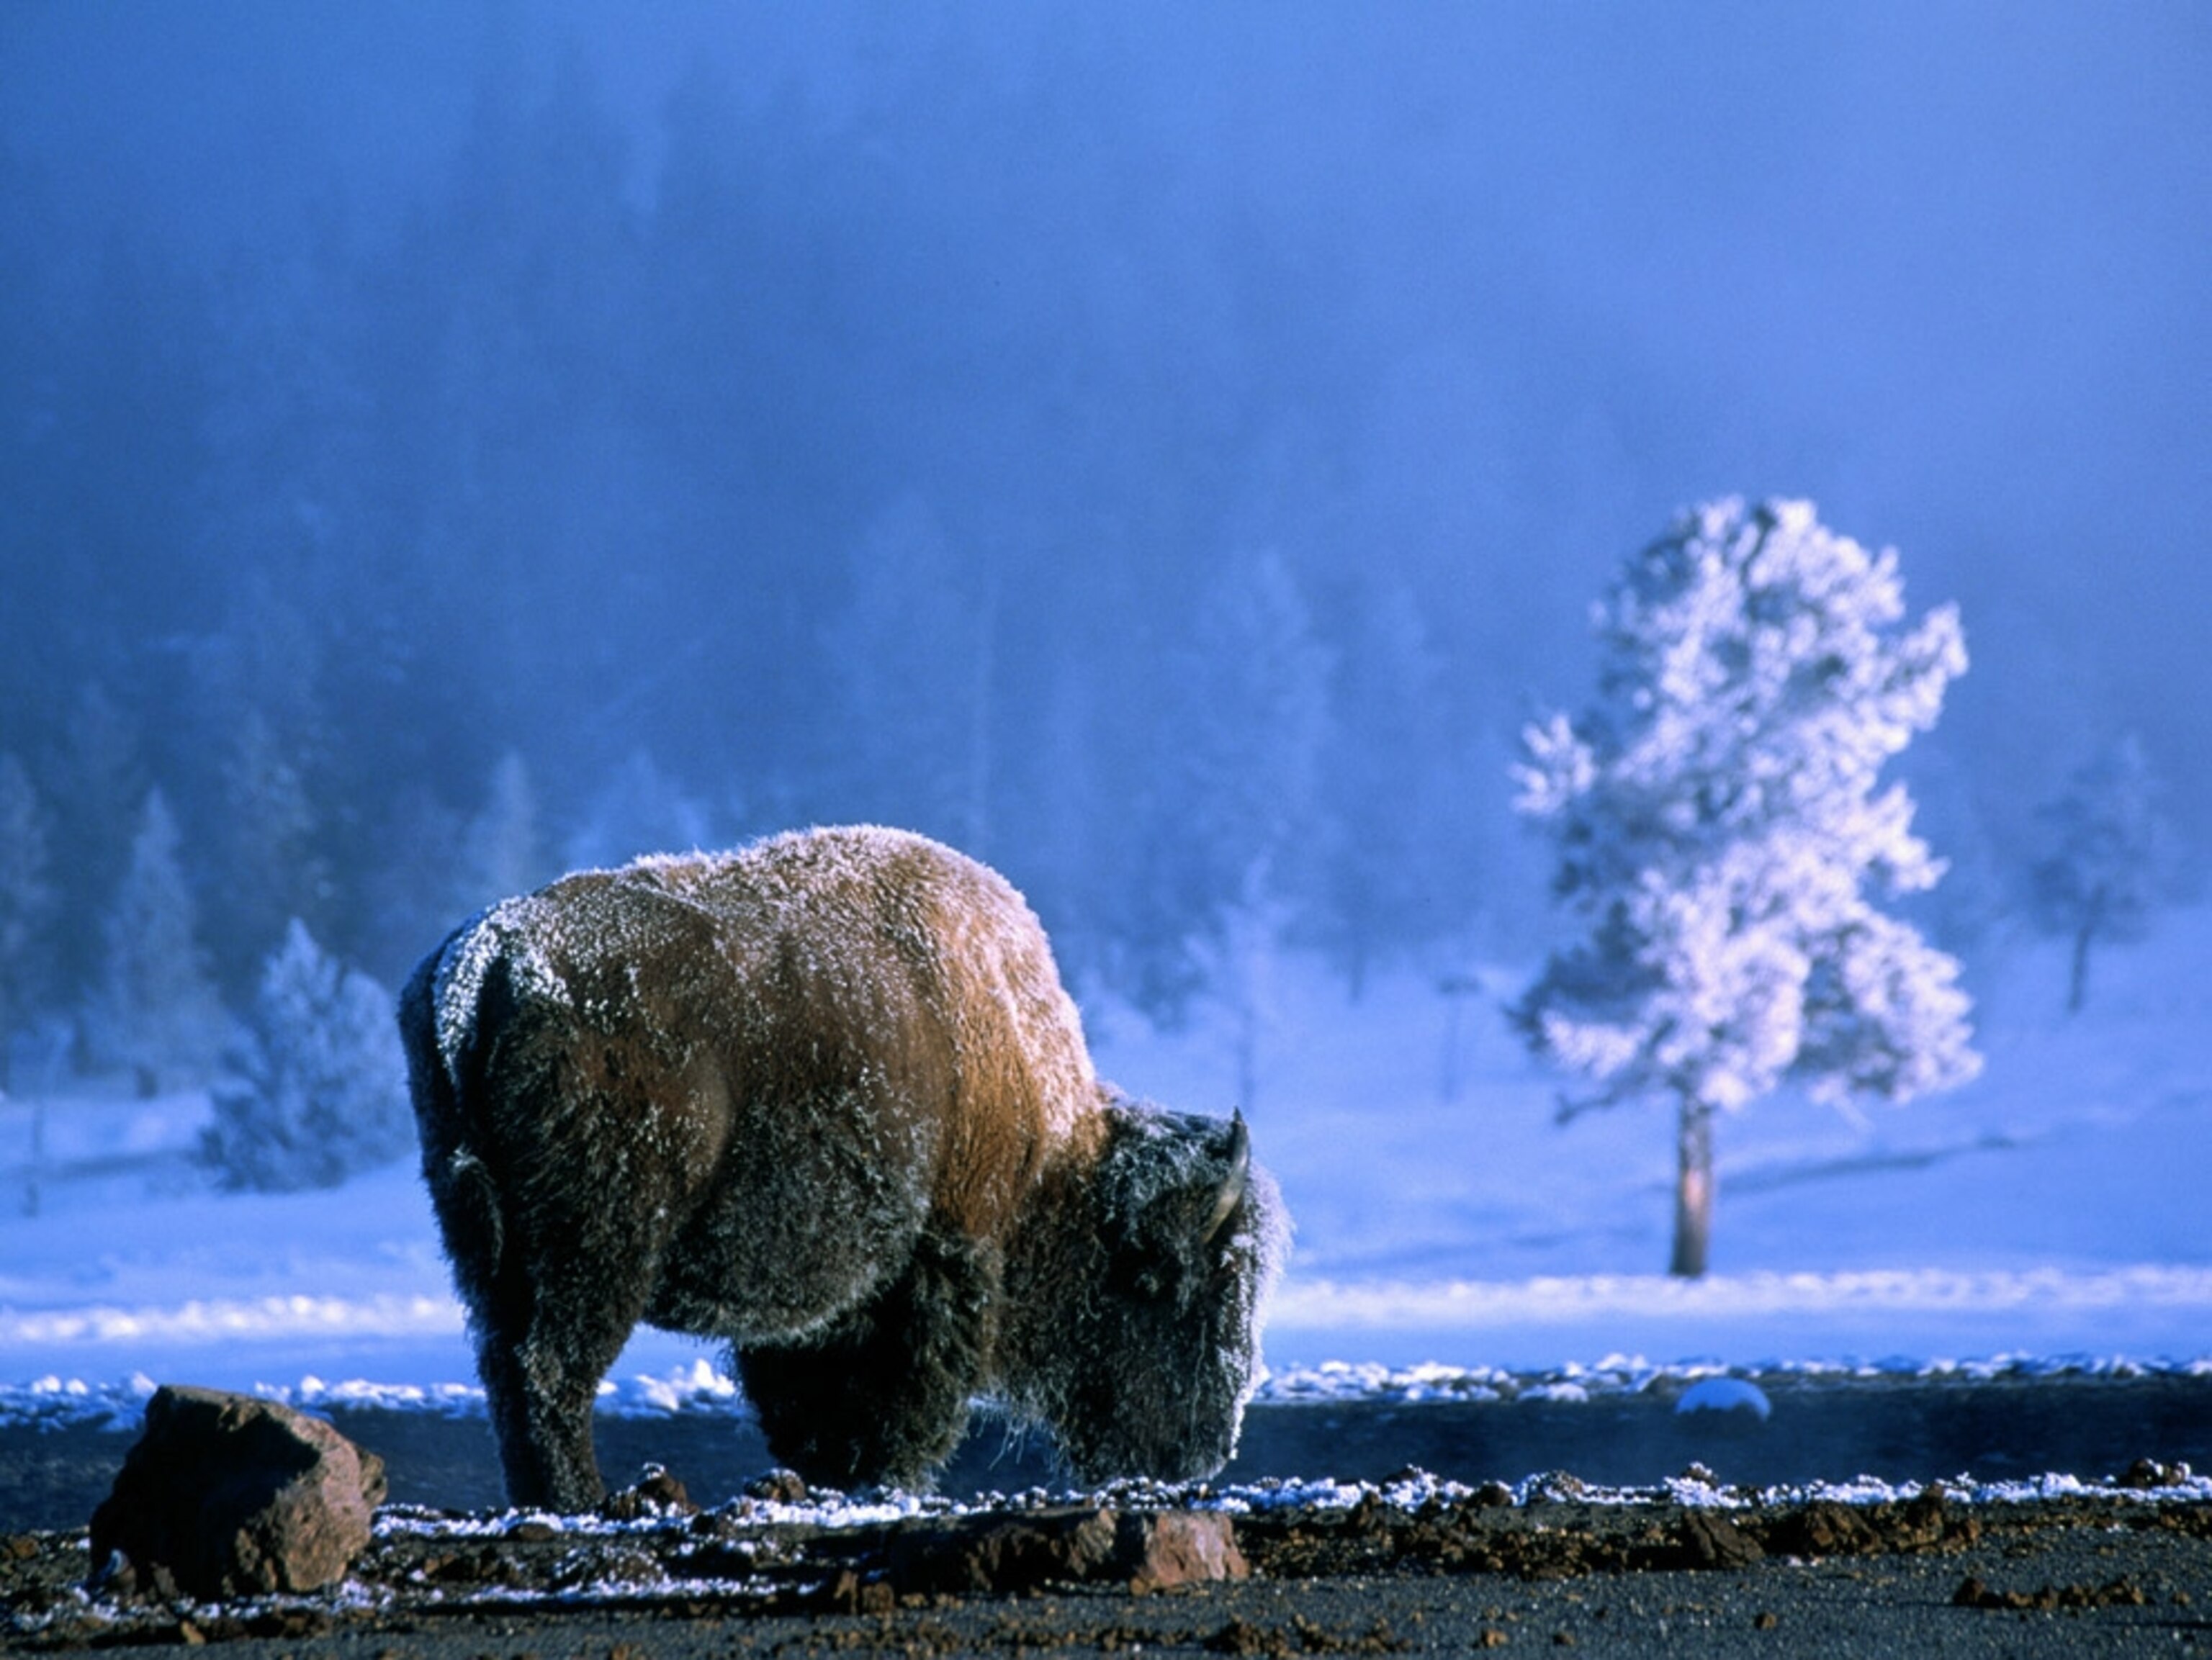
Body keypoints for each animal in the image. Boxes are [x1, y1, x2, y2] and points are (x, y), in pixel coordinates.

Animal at [398, 825, 1287, 1510]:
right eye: (1177, 1286)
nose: (1202, 1454)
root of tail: (489, 962)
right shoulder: (945, 1256)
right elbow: (911, 1395)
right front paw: (891, 1479)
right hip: (599, 1245)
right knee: (549, 1368)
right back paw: (582, 1498)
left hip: (484, 1243)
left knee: (505, 1365)